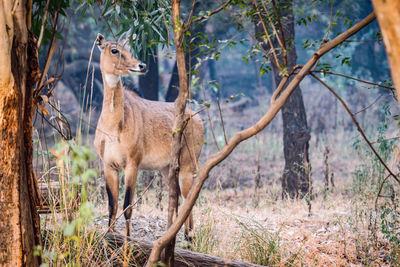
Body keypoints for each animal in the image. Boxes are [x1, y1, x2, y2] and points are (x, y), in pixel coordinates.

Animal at [94, 33, 205, 239]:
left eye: (129, 48)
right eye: (114, 50)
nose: (142, 66)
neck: (113, 126)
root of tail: (197, 117)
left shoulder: (132, 163)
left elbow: (127, 206)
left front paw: (128, 241)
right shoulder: (108, 165)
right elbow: (112, 206)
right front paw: (109, 236)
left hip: (187, 165)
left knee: (188, 199)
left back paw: (189, 238)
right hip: (167, 169)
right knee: (179, 201)